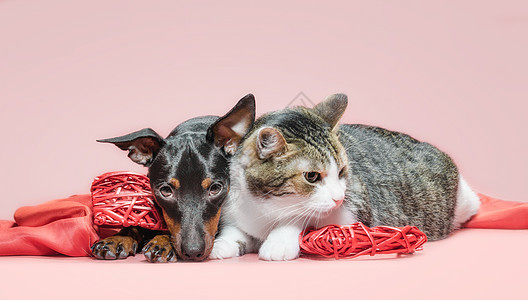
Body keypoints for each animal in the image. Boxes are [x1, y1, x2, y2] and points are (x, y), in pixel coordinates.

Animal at [91, 95, 256, 262]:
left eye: (215, 188)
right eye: (165, 191)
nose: (193, 251)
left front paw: (161, 241)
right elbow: (138, 225)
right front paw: (118, 238)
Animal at [208, 94, 480, 260]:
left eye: (341, 172)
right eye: (311, 176)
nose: (338, 197)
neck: (268, 208)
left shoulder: (352, 212)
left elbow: (305, 220)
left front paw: (280, 240)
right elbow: (236, 230)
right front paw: (223, 244)